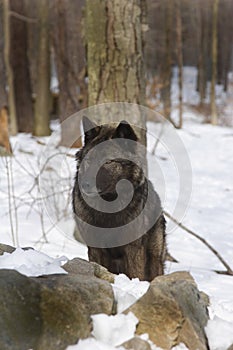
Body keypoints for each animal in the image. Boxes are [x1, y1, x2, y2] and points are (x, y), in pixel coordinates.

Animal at [72, 117, 167, 282]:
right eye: (89, 160)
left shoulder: (133, 249)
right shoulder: (95, 248)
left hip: (154, 258)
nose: (85, 184)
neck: (108, 206)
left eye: (108, 162)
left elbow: (136, 274)